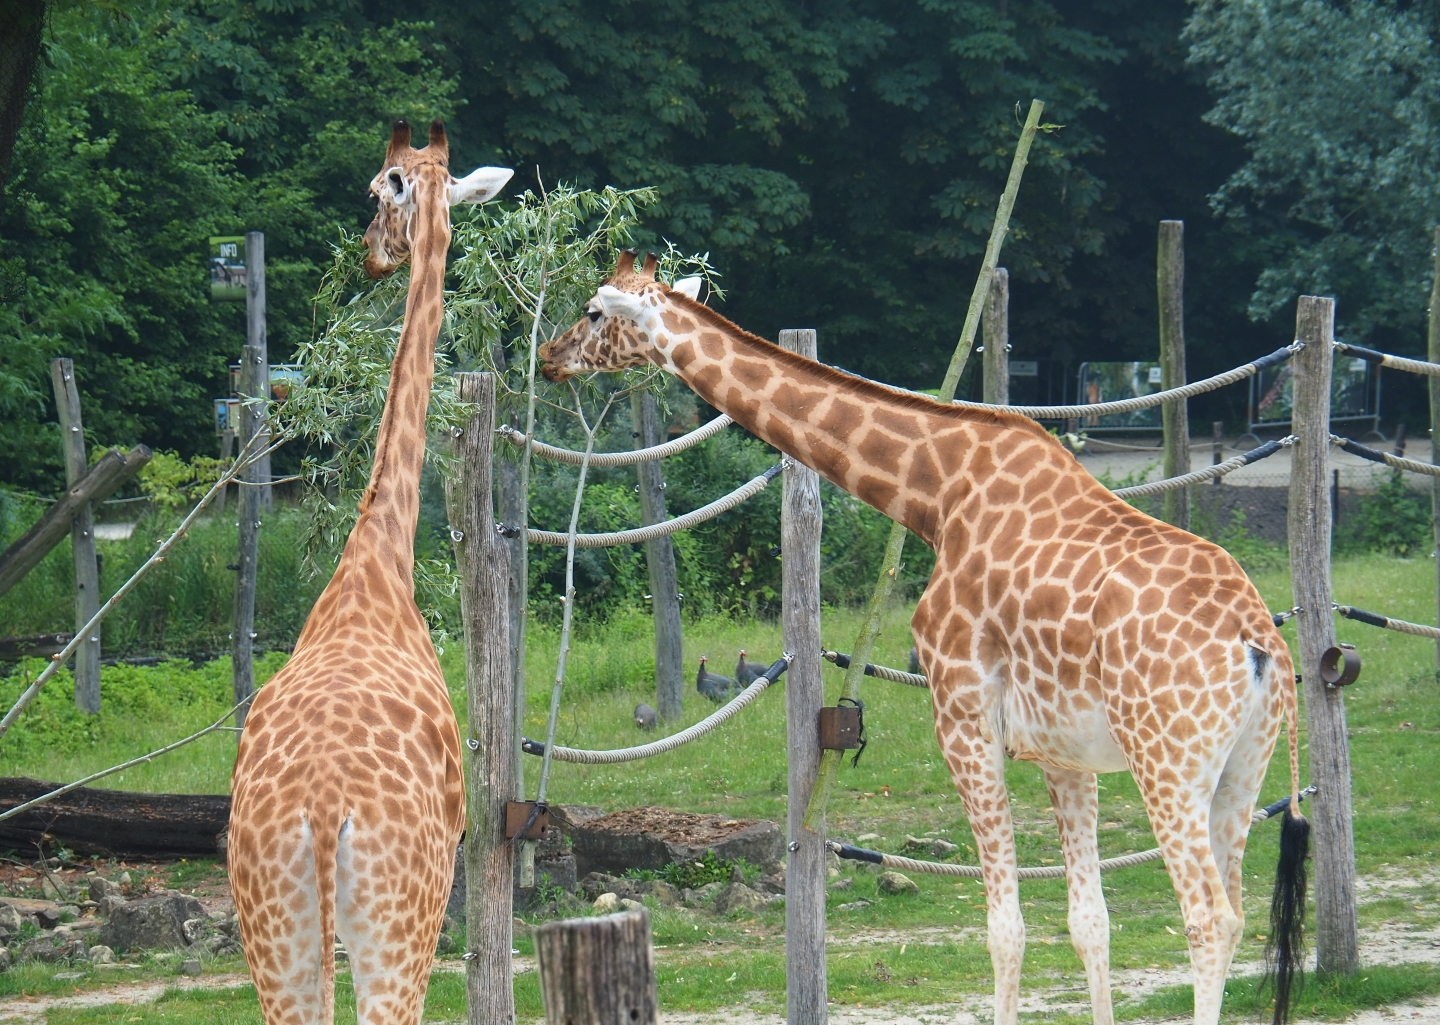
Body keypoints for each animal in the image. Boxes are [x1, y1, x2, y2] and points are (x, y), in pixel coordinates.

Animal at [227, 120, 511, 1025]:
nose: (371, 254)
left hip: (273, 932)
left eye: (375, 199)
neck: (375, 564)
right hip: (399, 925)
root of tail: (321, 813)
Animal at [538, 253, 1310, 1025]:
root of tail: (1260, 640)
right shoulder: (1064, 752)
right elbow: (1089, 921)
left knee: (1209, 917)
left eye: (594, 312)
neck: (935, 495)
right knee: (1234, 910)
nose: (548, 355)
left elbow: (1005, 928)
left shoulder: (963, 720)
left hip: (1168, 762)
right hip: (1241, 768)